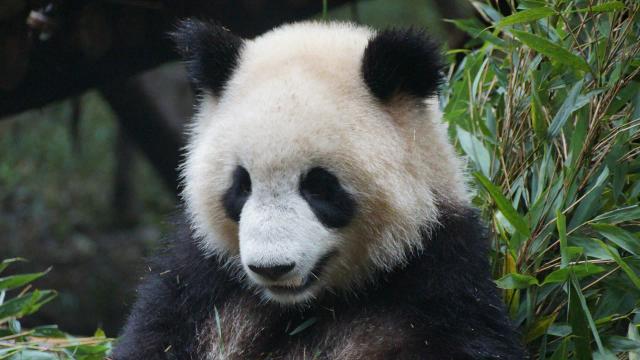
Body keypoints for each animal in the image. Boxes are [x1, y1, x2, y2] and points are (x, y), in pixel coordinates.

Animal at [115, 19, 524, 360]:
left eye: (319, 187)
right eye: (242, 185)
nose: (272, 267)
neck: (303, 306)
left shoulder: (438, 280)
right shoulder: (198, 284)